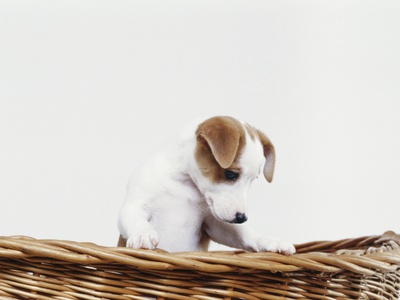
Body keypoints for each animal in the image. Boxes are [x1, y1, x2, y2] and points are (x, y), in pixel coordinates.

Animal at [117, 116, 296, 254]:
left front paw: (269, 240)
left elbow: (244, 234)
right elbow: (136, 219)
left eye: (252, 180)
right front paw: (143, 234)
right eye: (231, 174)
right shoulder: (133, 205)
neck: (185, 185)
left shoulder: (213, 225)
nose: (242, 218)